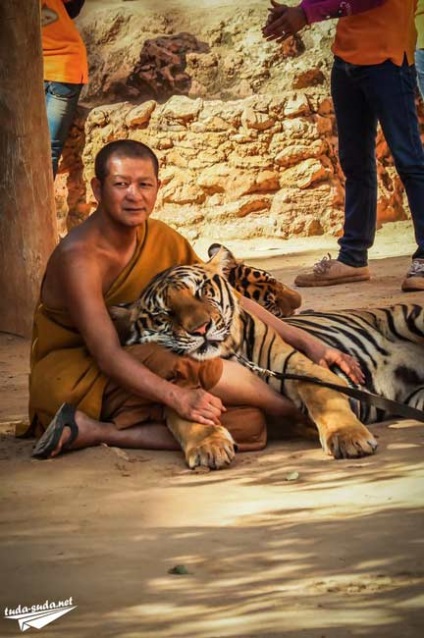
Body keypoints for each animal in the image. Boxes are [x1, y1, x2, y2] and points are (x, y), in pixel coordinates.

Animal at [112, 245, 424, 470]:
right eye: (164, 314)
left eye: (201, 292)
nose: (200, 329)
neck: (229, 356)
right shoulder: (181, 391)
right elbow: (184, 415)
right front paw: (207, 447)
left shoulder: (299, 366)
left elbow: (323, 397)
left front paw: (350, 438)